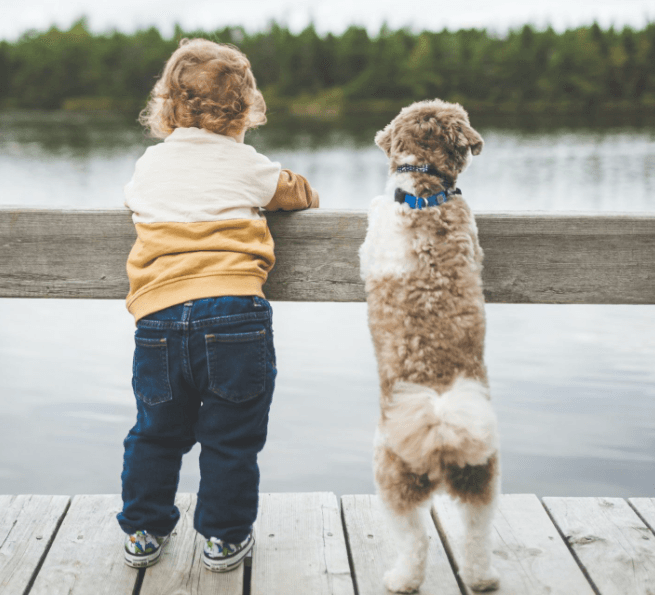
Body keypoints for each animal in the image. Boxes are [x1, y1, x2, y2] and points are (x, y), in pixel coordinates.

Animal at [362, 100, 500, 592]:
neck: (426, 193)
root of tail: (441, 433)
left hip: (392, 480)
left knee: (414, 540)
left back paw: (400, 579)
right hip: (481, 481)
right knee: (477, 536)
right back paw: (482, 577)